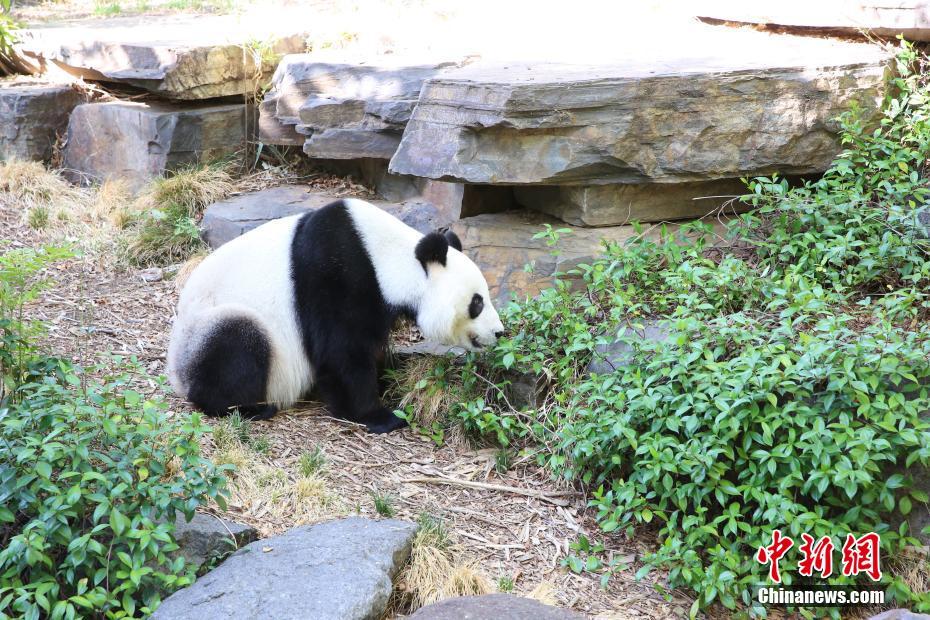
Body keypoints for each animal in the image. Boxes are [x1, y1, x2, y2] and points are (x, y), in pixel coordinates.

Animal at [167, 197, 500, 432]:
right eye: (477, 302)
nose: (500, 332)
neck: (386, 256)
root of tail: (176, 375)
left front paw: (386, 379)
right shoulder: (336, 274)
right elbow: (341, 352)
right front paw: (380, 415)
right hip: (209, 327)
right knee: (237, 341)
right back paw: (248, 407)